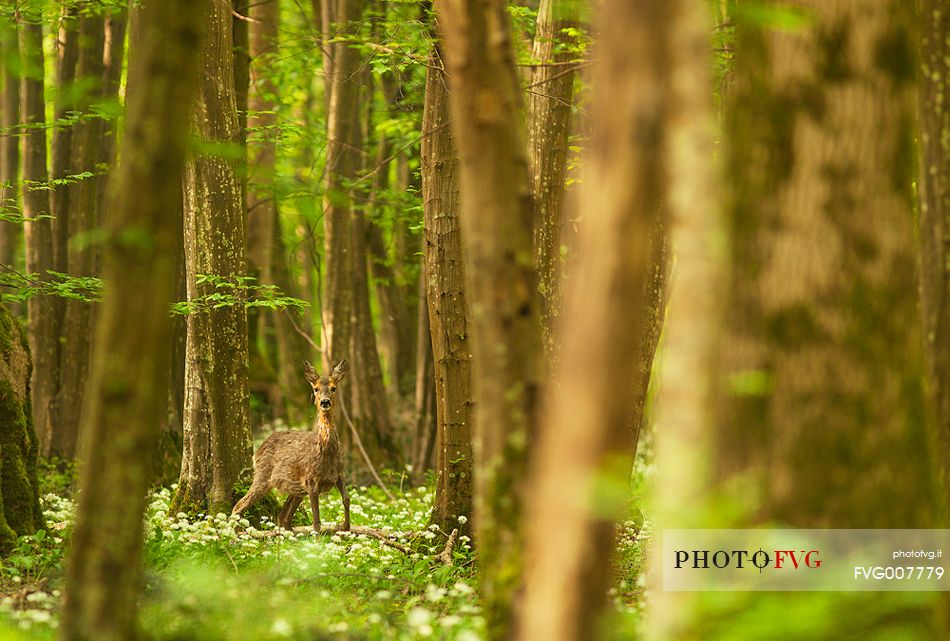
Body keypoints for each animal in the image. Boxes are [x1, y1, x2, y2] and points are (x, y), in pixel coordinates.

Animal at [232, 360, 352, 528]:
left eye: (334, 388)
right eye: (316, 389)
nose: (325, 402)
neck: (326, 452)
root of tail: (258, 449)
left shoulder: (340, 474)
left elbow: (346, 499)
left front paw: (345, 527)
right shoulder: (311, 480)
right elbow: (316, 519)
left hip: (295, 489)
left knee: (283, 516)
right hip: (263, 476)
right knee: (239, 505)